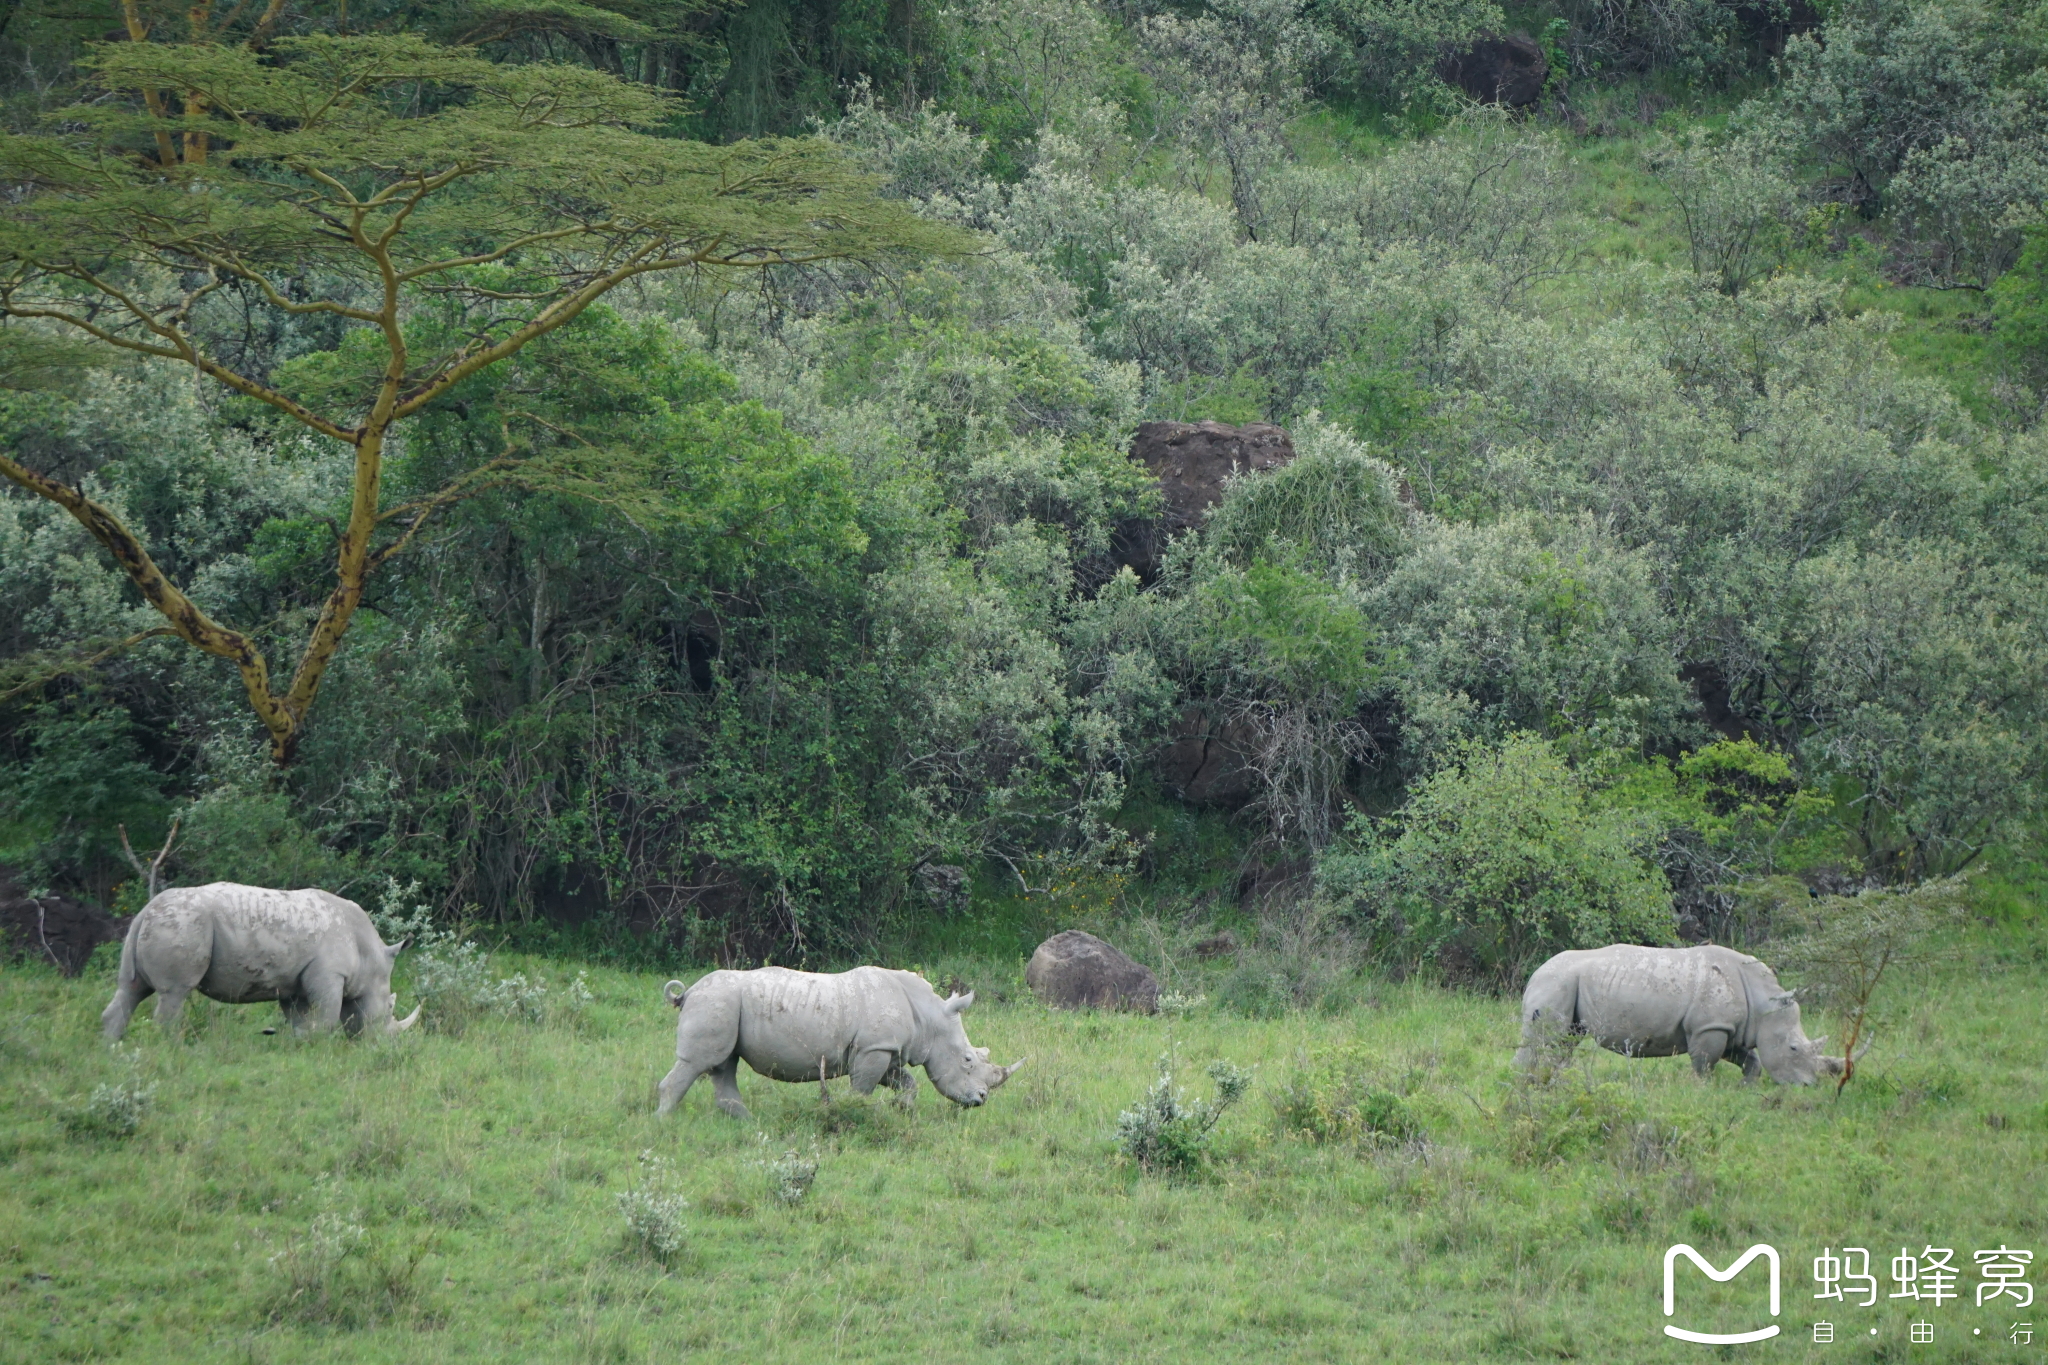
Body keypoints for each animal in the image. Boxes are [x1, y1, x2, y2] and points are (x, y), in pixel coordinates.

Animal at [100, 879, 419, 1039]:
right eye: (388, 1009)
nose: (384, 1043)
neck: (369, 956)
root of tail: (147, 908)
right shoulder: (329, 975)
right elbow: (326, 1018)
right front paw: (322, 1047)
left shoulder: (295, 983)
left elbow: (300, 1022)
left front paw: (303, 1047)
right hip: (184, 924)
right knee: (174, 992)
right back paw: (170, 1048)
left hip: (158, 925)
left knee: (130, 989)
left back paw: (112, 1051)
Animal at [659, 961, 1024, 1121]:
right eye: (968, 1060)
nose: (981, 1099)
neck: (929, 1018)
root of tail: (689, 991)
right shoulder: (874, 1048)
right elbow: (861, 1089)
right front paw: (853, 1114)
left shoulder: (884, 1048)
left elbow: (907, 1083)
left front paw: (901, 1109)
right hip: (715, 1000)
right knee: (698, 1063)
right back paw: (664, 1124)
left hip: (723, 1004)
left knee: (724, 1064)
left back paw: (748, 1124)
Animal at [1507, 945, 1859, 1080]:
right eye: (1794, 1048)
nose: (1809, 1087)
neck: (1764, 1002)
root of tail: (1534, 973)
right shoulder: (1709, 1027)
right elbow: (1704, 1065)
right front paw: (1703, 1091)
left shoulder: (1727, 1028)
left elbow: (1751, 1061)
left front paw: (1746, 1088)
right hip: (1557, 982)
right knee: (1546, 1039)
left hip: (1565, 984)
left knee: (1563, 1042)